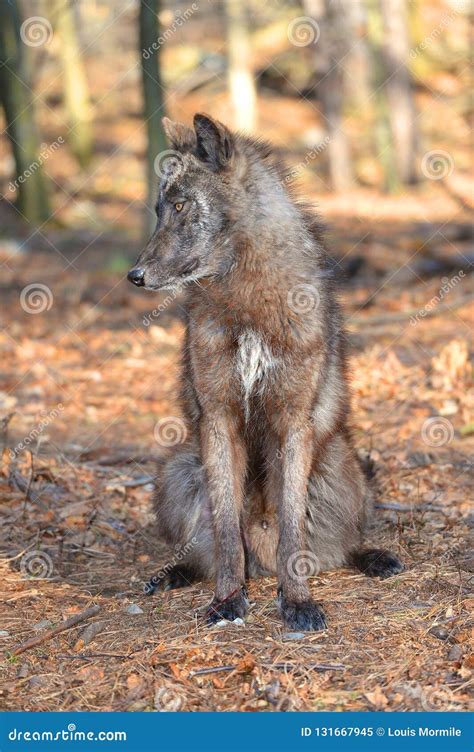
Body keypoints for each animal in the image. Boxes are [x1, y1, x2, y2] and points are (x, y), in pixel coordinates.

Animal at [128, 114, 403, 631]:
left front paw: (296, 601)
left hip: (343, 469)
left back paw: (373, 557)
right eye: (157, 209)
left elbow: (293, 526)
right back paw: (175, 573)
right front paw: (228, 599)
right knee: (205, 547)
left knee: (339, 547)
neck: (247, 302)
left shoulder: (292, 422)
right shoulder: (218, 420)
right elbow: (224, 529)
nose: (134, 276)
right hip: (178, 468)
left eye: (180, 205)